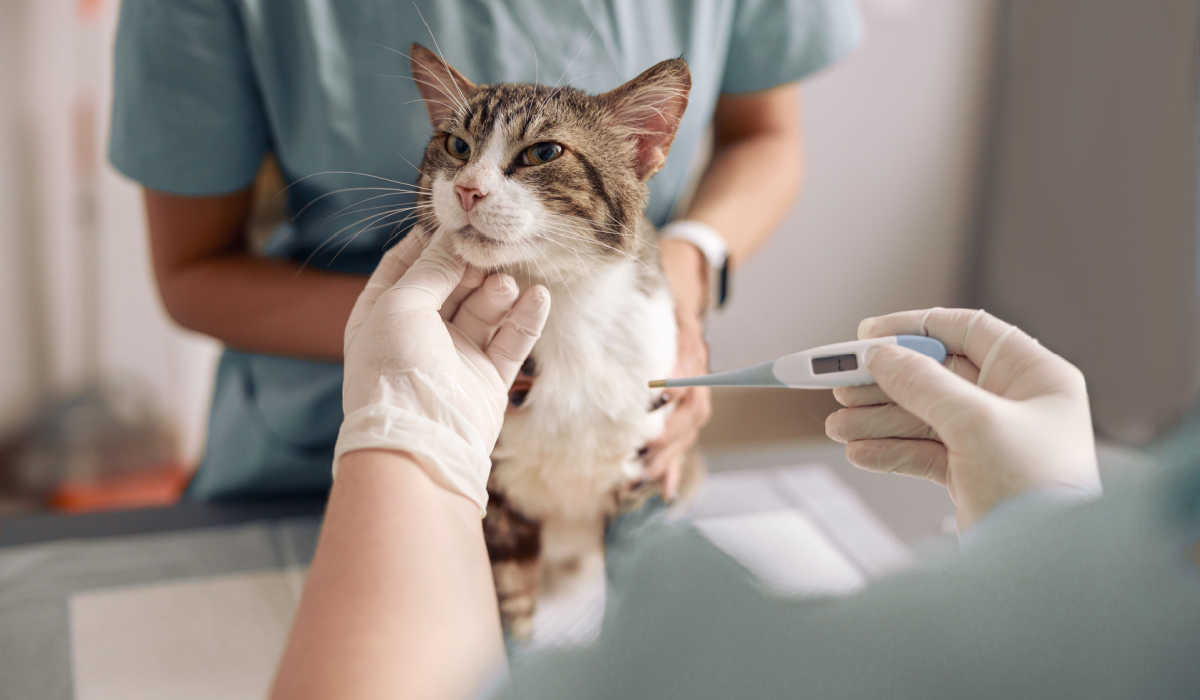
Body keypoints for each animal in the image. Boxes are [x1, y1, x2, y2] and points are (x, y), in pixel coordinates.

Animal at [408, 41, 700, 638]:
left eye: (544, 152)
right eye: (456, 145)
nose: (468, 189)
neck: (561, 311)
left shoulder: (646, 464)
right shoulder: (497, 506)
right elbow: (510, 604)